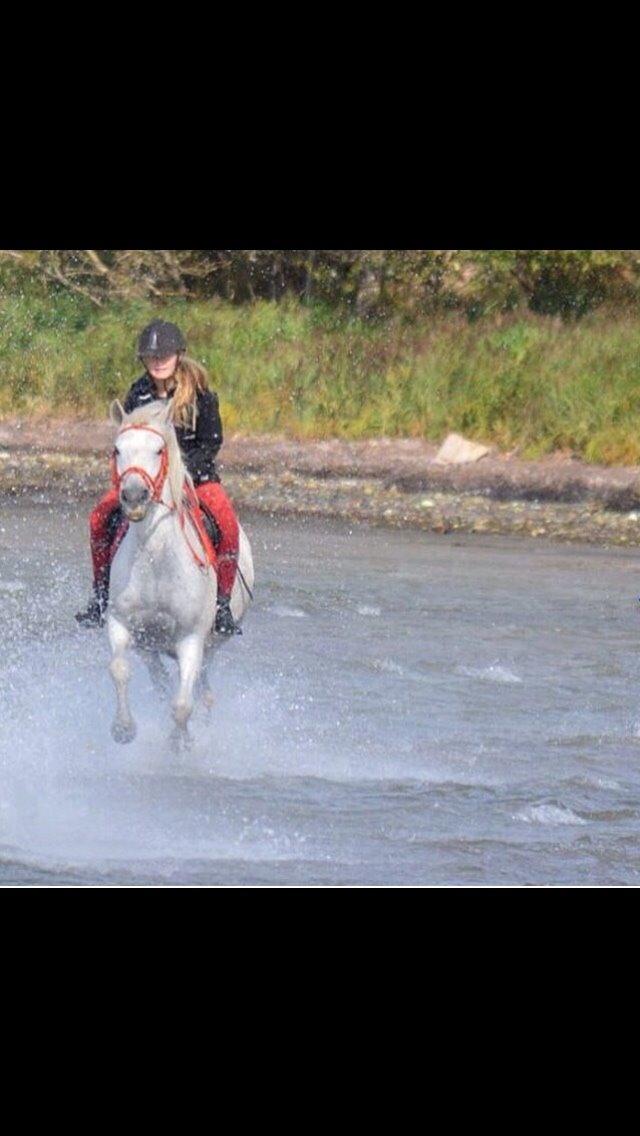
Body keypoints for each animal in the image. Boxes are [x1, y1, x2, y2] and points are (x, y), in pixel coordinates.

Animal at [106, 399, 254, 745]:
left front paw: (179, 743)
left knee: (200, 689)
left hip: (209, 645)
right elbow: (119, 669)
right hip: (150, 645)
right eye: (117, 449)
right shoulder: (121, 623)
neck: (155, 560)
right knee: (161, 681)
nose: (134, 496)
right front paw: (123, 728)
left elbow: (183, 705)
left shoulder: (191, 639)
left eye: (159, 449)